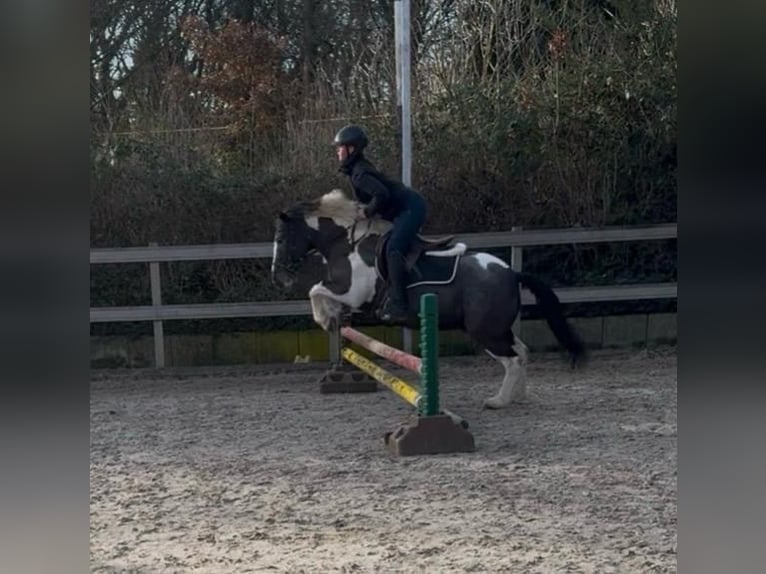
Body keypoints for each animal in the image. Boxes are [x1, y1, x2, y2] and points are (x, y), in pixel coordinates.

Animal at [271, 189, 586, 409]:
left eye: (282, 239)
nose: (278, 278)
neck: (346, 244)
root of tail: (512, 273)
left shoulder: (352, 292)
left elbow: (315, 290)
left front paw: (326, 318)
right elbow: (320, 293)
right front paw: (333, 317)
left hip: (485, 331)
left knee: (513, 359)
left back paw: (498, 401)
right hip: (498, 329)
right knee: (522, 351)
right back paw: (516, 396)